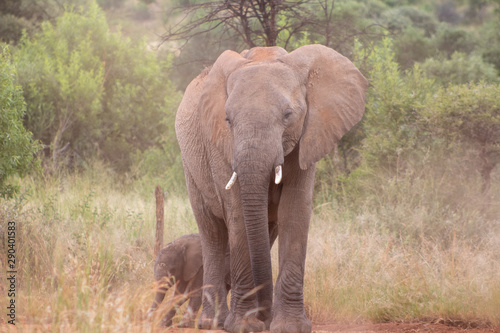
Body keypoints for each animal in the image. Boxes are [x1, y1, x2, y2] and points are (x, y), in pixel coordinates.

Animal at [175, 44, 368, 332]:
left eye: (288, 116)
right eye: (228, 120)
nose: (264, 316)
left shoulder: (309, 135)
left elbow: (294, 212)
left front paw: (289, 326)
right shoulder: (220, 147)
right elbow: (237, 214)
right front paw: (244, 326)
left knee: (265, 230)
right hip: (192, 166)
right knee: (213, 233)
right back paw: (213, 322)